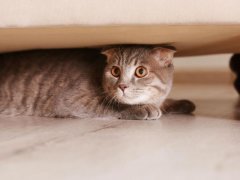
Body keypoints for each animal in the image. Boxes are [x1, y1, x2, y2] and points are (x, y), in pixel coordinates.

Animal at [0, 45, 195, 120]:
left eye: (141, 71)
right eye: (115, 71)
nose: (122, 86)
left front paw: (181, 103)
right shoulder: (72, 100)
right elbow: (112, 105)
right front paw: (142, 108)